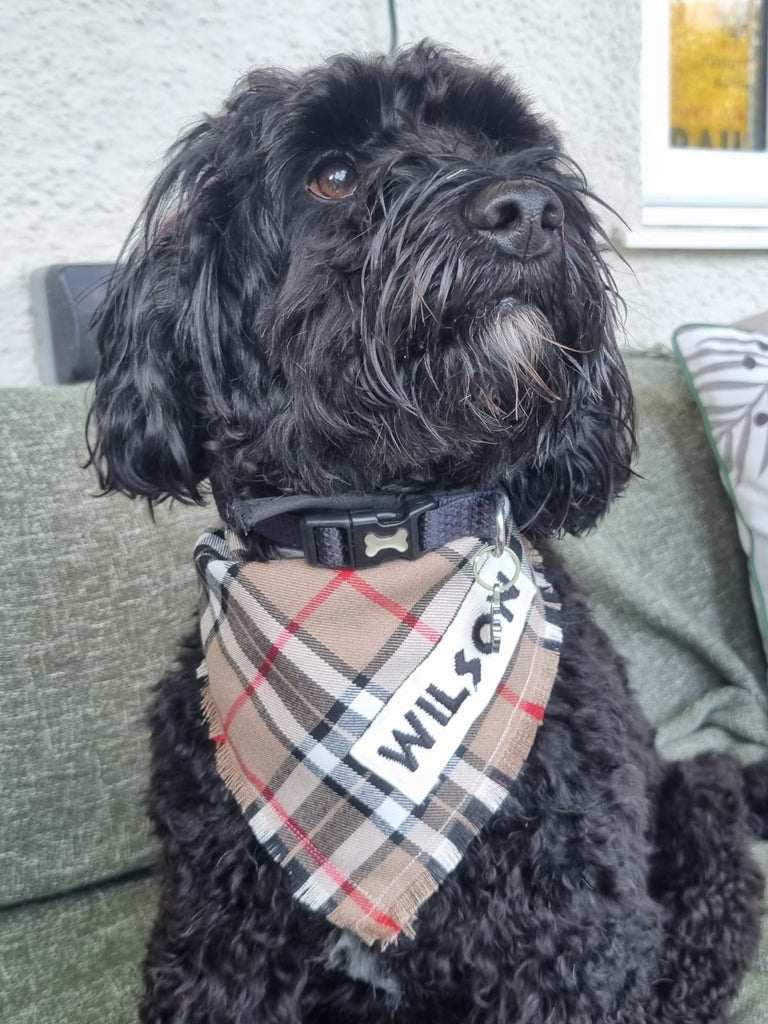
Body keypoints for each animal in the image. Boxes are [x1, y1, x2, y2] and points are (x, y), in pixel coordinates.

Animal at [90, 44, 768, 1019]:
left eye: (507, 146)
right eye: (334, 175)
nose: (529, 210)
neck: (375, 560)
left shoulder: (570, 943)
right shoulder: (216, 946)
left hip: (693, 801)